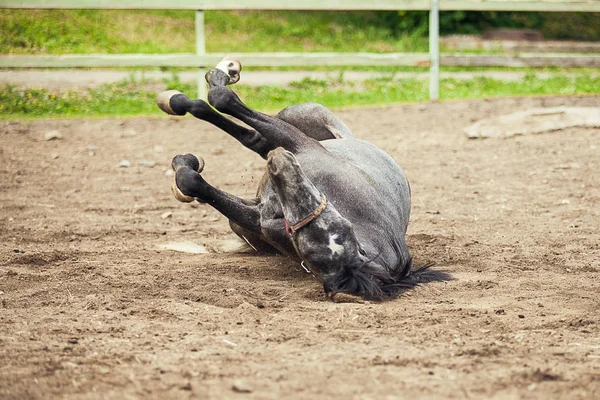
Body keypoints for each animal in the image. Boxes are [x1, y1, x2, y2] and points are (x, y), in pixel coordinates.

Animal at [157, 57, 448, 298]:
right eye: (343, 226)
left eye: (308, 249)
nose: (282, 165)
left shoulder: (270, 196)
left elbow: (196, 175)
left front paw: (184, 165)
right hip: (298, 118)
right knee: (254, 137)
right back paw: (197, 89)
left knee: (249, 131)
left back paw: (215, 77)